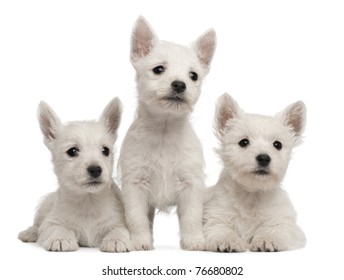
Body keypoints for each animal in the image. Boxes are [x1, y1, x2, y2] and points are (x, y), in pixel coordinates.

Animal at [18, 98, 132, 252]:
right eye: (72, 151)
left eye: (106, 150)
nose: (95, 169)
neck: (88, 201)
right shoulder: (51, 221)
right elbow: (56, 227)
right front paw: (61, 238)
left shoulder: (120, 222)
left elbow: (119, 229)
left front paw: (116, 240)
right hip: (44, 206)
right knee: (37, 224)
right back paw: (29, 233)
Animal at [118, 16, 215, 250]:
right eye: (158, 69)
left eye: (193, 76)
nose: (179, 84)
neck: (164, 129)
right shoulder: (135, 185)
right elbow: (136, 217)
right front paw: (140, 241)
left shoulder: (191, 186)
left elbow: (191, 217)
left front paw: (194, 241)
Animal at [203, 93, 306, 252]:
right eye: (243, 142)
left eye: (277, 144)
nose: (264, 158)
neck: (252, 194)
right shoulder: (214, 218)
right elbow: (221, 229)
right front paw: (229, 241)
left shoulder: (286, 224)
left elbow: (274, 229)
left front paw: (266, 239)